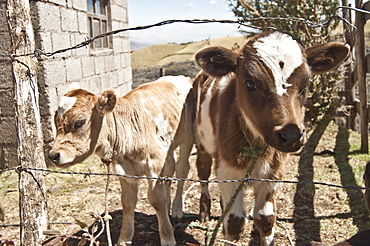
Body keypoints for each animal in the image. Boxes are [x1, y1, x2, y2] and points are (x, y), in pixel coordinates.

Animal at [48, 75, 194, 246]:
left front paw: (167, 238)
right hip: (167, 149)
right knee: (170, 170)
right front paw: (124, 238)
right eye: (56, 122)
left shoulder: (154, 164)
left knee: (182, 169)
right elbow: (128, 202)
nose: (53, 155)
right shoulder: (124, 169)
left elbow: (157, 200)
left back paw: (177, 209)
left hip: (187, 139)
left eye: (80, 122)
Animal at [194, 31, 350, 245]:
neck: (257, 145)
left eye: (305, 85)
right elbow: (234, 222)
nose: (291, 135)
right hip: (201, 142)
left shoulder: (274, 172)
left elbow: (265, 219)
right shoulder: (226, 170)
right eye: (250, 83)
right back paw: (204, 212)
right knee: (203, 172)